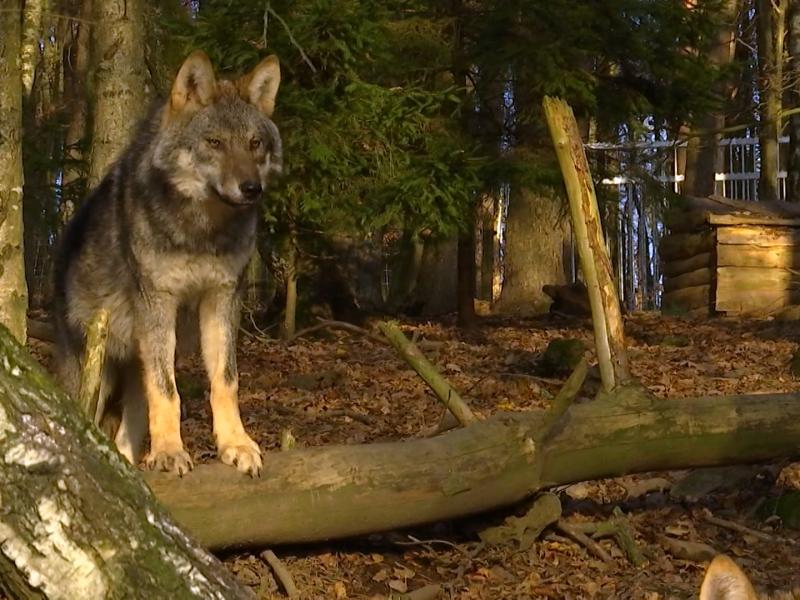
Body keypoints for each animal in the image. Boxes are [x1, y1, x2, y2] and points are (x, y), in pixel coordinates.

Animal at [53, 51, 282, 477]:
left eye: (254, 143)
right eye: (214, 143)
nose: (251, 189)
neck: (201, 233)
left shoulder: (223, 299)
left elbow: (225, 381)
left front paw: (236, 445)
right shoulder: (157, 302)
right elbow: (168, 392)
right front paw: (169, 453)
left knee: (126, 435)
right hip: (95, 372)